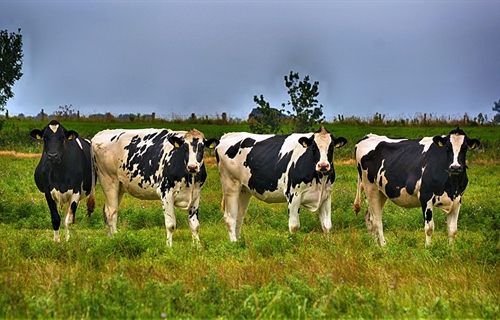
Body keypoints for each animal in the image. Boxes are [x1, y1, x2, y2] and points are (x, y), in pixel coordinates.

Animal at [91, 128, 219, 248]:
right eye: (185, 147)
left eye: (202, 148)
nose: (192, 167)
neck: (189, 179)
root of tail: (100, 134)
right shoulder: (166, 193)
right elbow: (171, 224)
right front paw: (169, 247)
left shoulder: (196, 194)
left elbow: (195, 225)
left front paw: (197, 246)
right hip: (109, 181)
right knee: (111, 213)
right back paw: (115, 238)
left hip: (119, 187)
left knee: (107, 210)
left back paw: (109, 238)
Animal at [215, 126, 348, 241]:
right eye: (314, 148)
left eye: (331, 148)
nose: (323, 165)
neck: (319, 179)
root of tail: (227, 135)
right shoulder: (293, 195)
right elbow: (294, 226)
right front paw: (293, 244)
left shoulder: (326, 196)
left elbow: (327, 226)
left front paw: (328, 244)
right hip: (230, 184)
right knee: (230, 218)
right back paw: (234, 244)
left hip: (244, 189)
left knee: (239, 217)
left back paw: (240, 242)